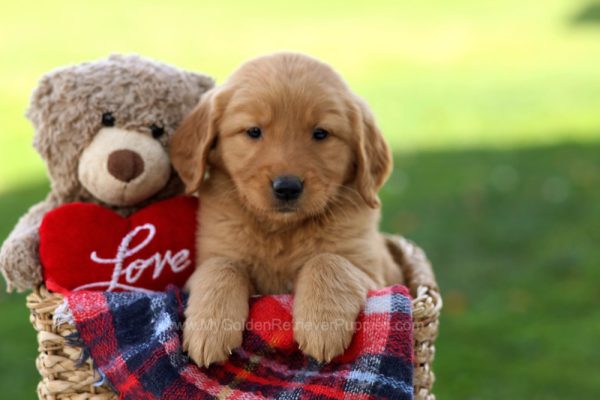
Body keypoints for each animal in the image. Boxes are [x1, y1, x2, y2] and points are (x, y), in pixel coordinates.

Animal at [171, 51, 400, 368]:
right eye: (254, 131)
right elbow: (222, 266)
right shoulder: (209, 255)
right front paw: (211, 328)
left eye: (321, 133)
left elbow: (327, 260)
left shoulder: (377, 277)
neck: (281, 230)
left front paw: (322, 326)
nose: (287, 187)